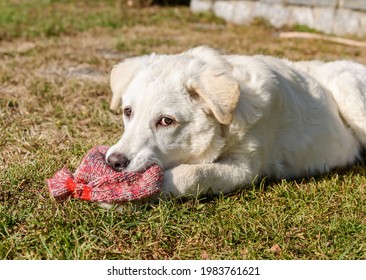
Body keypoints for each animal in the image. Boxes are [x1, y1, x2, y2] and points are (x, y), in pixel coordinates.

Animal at [105, 46, 366, 199]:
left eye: (166, 121)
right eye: (128, 112)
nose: (114, 162)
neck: (227, 124)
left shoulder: (245, 167)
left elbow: (193, 174)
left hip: (348, 91)